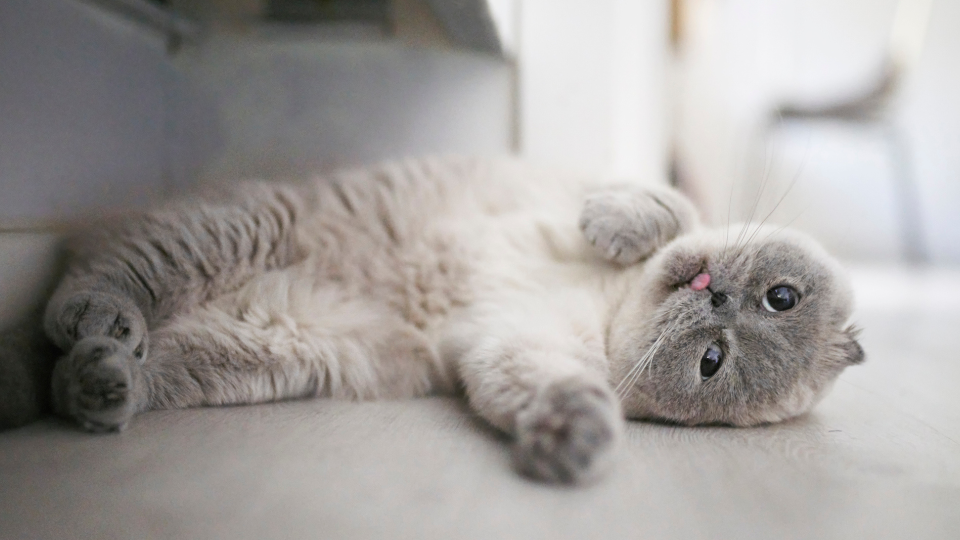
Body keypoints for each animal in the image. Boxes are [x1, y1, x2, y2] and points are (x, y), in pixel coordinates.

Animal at [33, 158, 868, 484]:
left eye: (711, 364)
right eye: (781, 298)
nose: (718, 297)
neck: (608, 305)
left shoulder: (516, 347)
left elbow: (559, 390)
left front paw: (577, 441)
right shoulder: (591, 183)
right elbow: (666, 208)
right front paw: (611, 226)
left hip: (272, 348)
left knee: (136, 363)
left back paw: (99, 382)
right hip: (247, 229)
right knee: (110, 277)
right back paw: (98, 320)